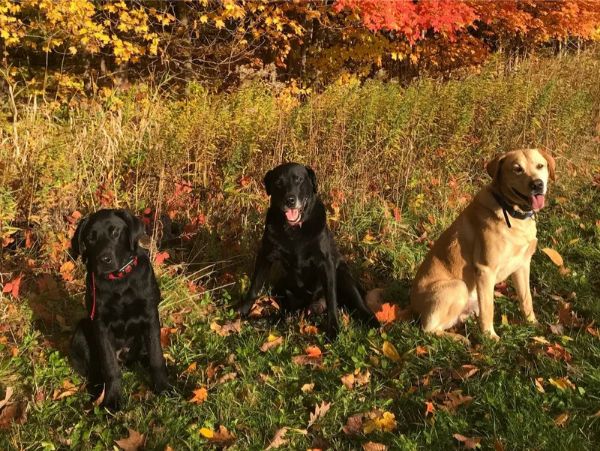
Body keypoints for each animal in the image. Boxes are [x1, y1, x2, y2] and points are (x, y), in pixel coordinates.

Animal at [70, 208, 169, 410]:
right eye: (90, 238)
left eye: (115, 232)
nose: (104, 259)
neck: (119, 281)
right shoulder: (100, 324)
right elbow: (110, 368)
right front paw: (112, 399)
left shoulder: (150, 316)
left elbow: (156, 357)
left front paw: (163, 388)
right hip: (81, 331)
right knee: (95, 371)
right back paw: (96, 392)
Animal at [238, 164, 376, 338]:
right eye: (278, 183)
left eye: (299, 179)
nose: (289, 200)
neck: (294, 230)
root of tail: (310, 308)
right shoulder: (265, 255)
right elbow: (254, 287)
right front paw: (242, 312)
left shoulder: (326, 263)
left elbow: (332, 299)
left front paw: (333, 329)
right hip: (280, 286)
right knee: (284, 311)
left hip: (344, 278)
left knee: (359, 305)